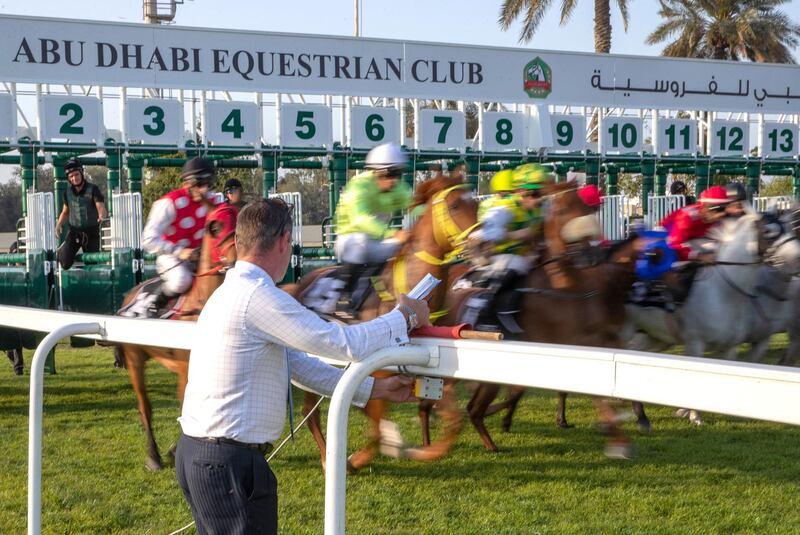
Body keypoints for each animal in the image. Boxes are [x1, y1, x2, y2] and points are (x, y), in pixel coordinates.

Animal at [115, 203, 239, 472]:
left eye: (240, 218)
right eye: (215, 227)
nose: (236, 257)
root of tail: (129, 296)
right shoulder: (186, 369)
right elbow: (186, 406)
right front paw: (173, 451)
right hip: (134, 359)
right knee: (145, 407)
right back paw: (153, 455)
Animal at [284, 174, 478, 472]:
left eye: (476, 203)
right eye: (455, 205)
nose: (482, 242)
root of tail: (299, 285)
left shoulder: (437, 362)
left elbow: (453, 422)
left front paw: (417, 450)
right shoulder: (380, 367)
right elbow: (373, 418)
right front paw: (358, 457)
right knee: (310, 412)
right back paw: (329, 458)